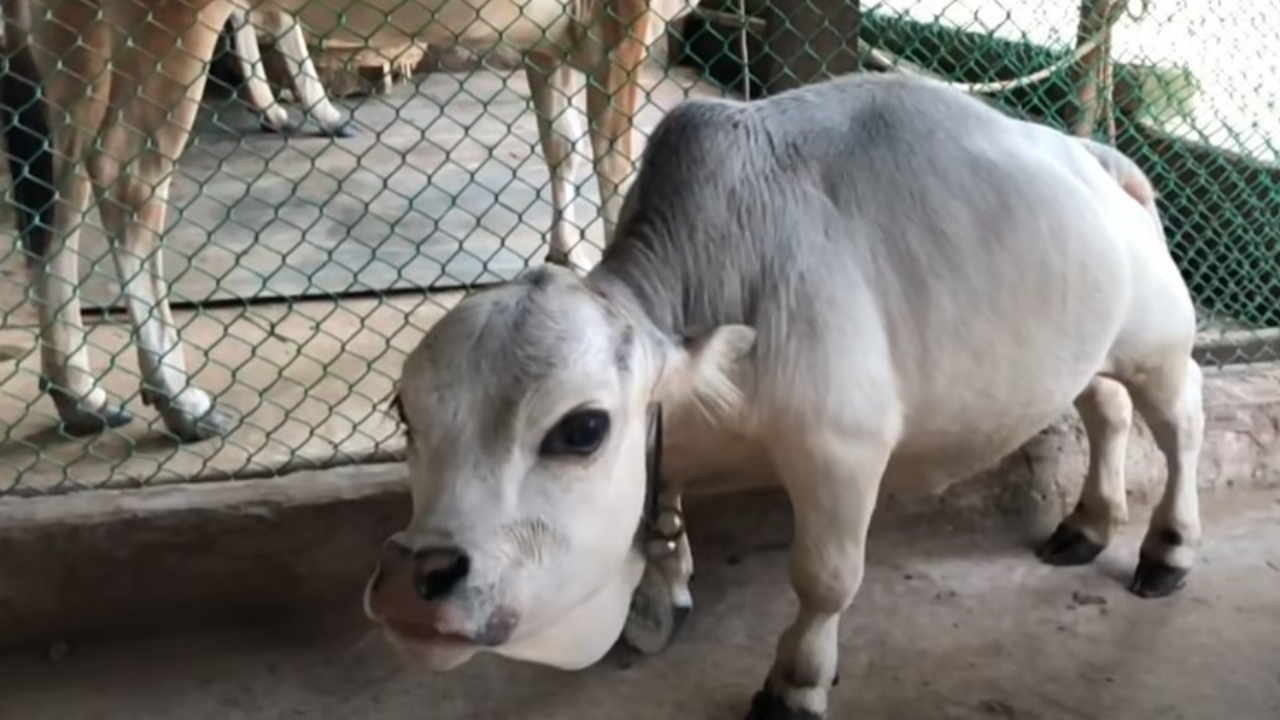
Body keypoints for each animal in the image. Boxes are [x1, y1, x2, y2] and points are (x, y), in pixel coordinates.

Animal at [1, 0, 698, 442]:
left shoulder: (552, 43)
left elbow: (565, 145)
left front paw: (567, 254)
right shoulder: (624, 20)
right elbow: (616, 163)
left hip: (70, 32)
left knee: (57, 184)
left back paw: (80, 394)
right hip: (167, 23)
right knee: (124, 179)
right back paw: (180, 399)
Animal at [364, 72, 1205, 719]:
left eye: (582, 428)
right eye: (406, 413)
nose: (412, 579)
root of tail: (1096, 156)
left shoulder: (840, 448)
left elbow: (824, 579)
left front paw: (796, 682)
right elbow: (665, 519)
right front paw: (667, 591)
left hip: (1160, 344)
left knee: (1180, 425)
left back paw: (1167, 549)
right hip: (1085, 352)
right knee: (1107, 412)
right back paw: (1088, 524)